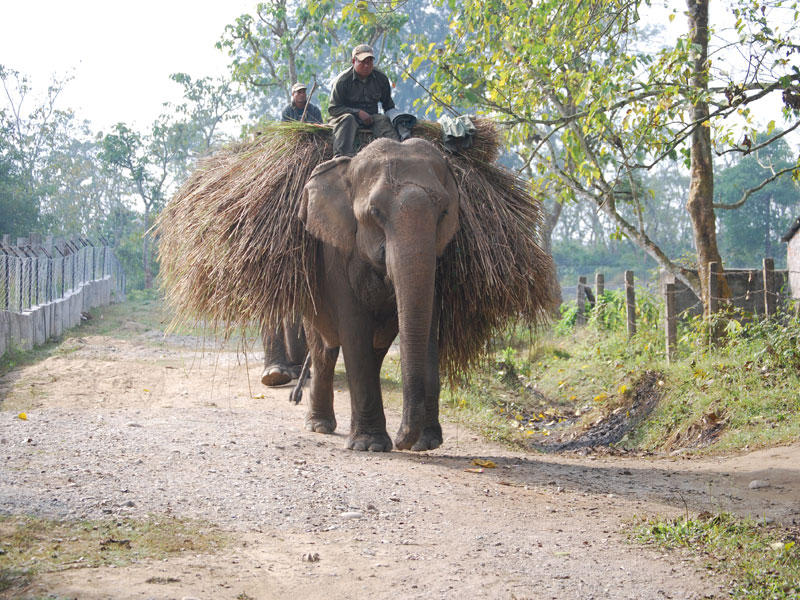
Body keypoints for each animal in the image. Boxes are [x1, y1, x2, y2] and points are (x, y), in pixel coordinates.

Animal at [296, 138, 460, 452]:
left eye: (444, 212)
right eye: (375, 213)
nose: (402, 441)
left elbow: (428, 321)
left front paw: (427, 443)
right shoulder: (335, 253)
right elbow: (354, 326)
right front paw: (369, 446)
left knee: (374, 351)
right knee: (323, 348)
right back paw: (319, 426)